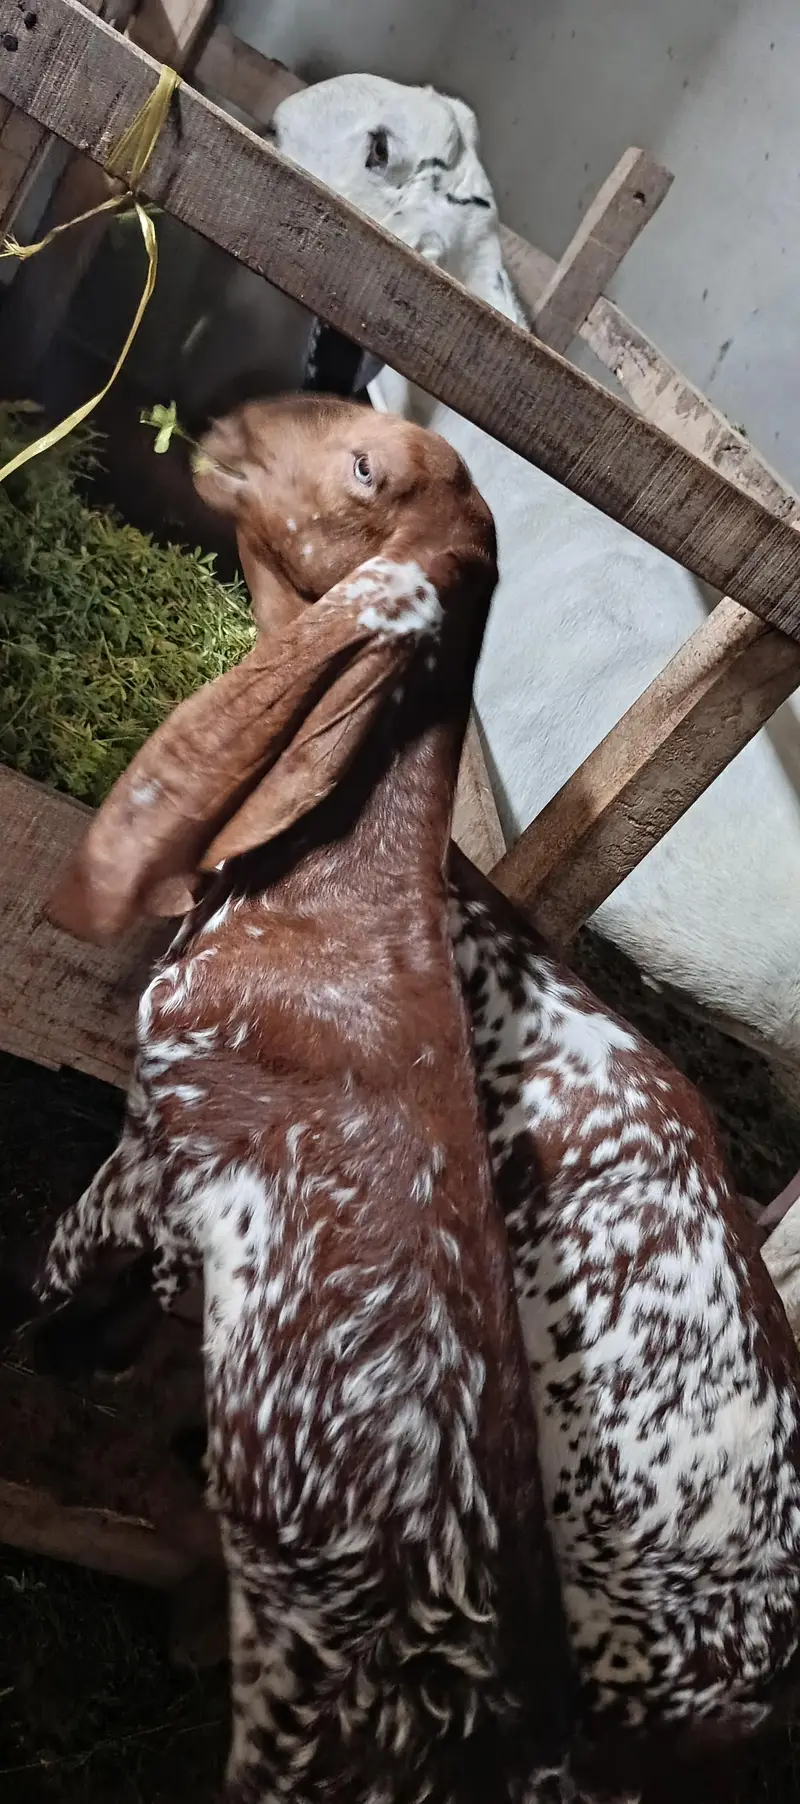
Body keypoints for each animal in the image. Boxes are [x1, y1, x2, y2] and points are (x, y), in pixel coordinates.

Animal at [23, 397, 574, 1804]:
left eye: (368, 466)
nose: (226, 423)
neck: (336, 896)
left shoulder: (154, 1141)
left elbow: (54, 1273)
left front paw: (37, 1355)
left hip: (303, 1726)